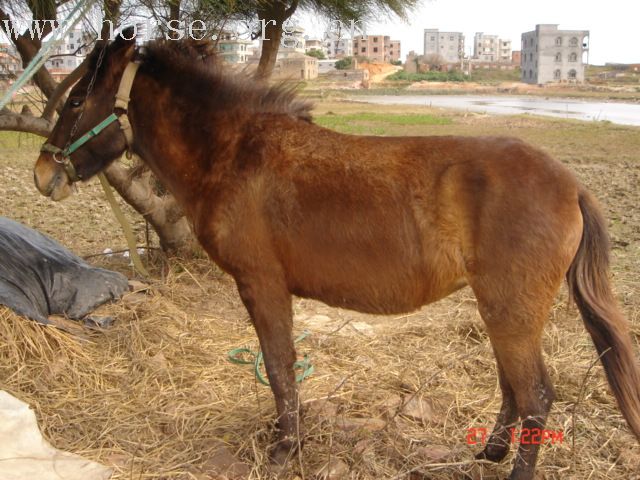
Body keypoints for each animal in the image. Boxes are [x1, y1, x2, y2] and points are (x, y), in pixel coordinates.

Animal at [32, 31, 636, 478]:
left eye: (78, 100)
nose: (42, 173)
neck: (235, 153)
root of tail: (570, 184)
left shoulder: (262, 286)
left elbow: (279, 367)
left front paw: (284, 449)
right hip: (502, 310)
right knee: (514, 386)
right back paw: (489, 451)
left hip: (511, 310)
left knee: (535, 395)